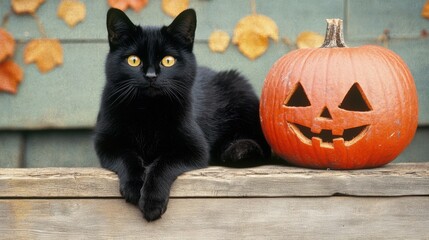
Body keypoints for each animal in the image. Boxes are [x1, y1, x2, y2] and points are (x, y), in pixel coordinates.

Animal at [93, 7, 270, 221]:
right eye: (133, 60)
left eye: (168, 61)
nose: (151, 76)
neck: (148, 112)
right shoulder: (106, 143)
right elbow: (127, 156)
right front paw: (135, 186)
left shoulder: (195, 149)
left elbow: (163, 164)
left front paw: (152, 202)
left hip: (240, 88)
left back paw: (237, 151)